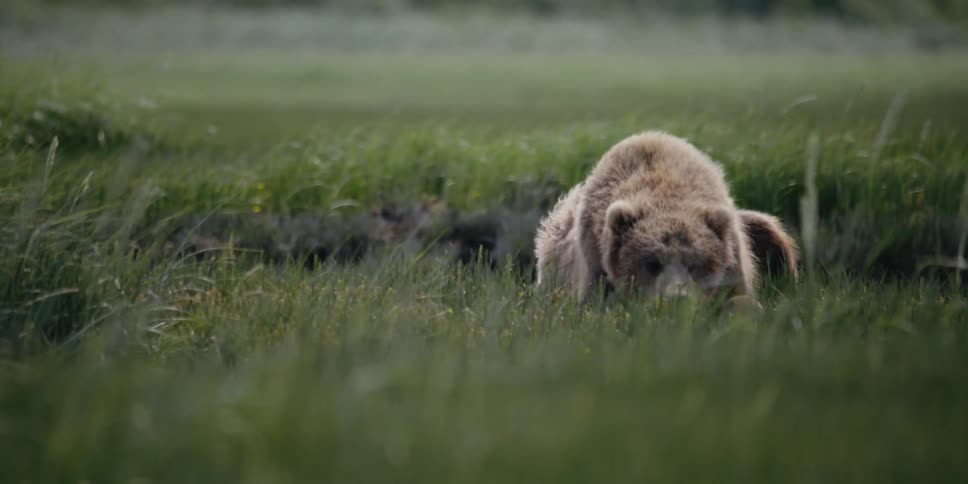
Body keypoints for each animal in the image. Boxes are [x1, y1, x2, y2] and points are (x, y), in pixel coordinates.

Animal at [535, 131, 798, 303]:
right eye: (652, 263)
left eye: (695, 264)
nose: (676, 297)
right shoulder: (594, 257)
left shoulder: (732, 253)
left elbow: (738, 297)